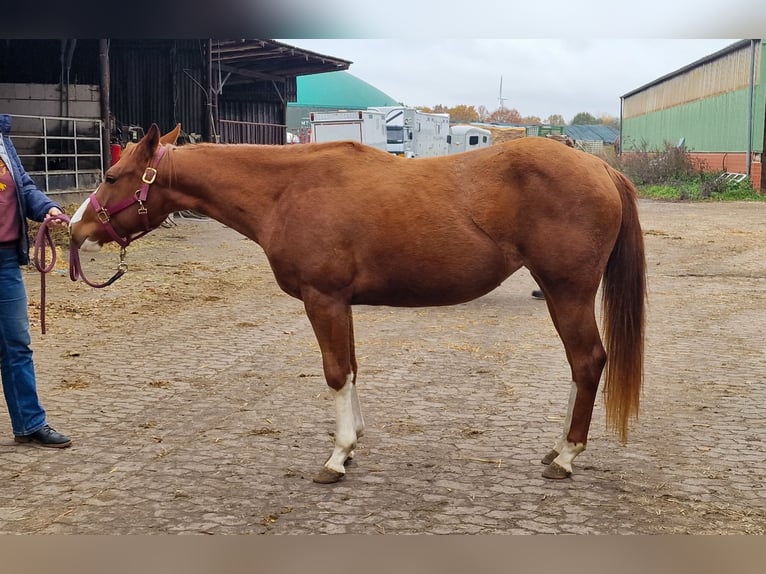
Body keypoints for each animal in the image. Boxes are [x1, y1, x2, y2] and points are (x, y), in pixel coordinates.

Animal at [69, 123, 646, 483]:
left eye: (111, 177)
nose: (74, 229)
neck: (288, 190)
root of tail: (600, 169)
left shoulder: (322, 299)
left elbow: (334, 372)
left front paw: (337, 455)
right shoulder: (340, 303)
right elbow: (350, 368)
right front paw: (354, 444)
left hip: (567, 291)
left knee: (587, 361)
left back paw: (566, 456)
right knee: (579, 366)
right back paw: (558, 445)